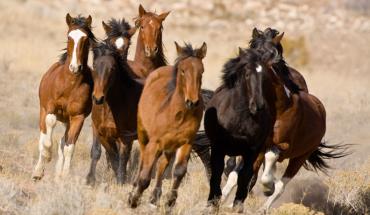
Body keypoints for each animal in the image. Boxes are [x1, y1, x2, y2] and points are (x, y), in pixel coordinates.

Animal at [31, 13, 96, 181]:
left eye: (86, 38)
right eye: (69, 37)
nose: (75, 67)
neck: (69, 85)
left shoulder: (78, 117)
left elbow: (69, 147)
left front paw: (64, 175)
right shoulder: (50, 108)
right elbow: (48, 131)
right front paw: (47, 157)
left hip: (67, 120)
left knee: (62, 142)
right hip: (43, 111)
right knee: (43, 135)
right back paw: (38, 172)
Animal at [85, 18, 140, 186]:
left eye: (113, 67)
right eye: (94, 65)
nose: (98, 98)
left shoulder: (126, 137)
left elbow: (122, 160)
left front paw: (121, 182)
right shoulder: (102, 133)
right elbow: (107, 156)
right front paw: (90, 179)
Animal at [129, 41, 207, 208]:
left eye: (201, 72)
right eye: (183, 71)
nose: (192, 102)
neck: (177, 114)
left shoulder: (186, 142)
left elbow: (179, 171)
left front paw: (170, 201)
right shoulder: (154, 143)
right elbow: (145, 176)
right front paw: (133, 199)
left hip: (170, 146)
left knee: (162, 164)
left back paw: (155, 197)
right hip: (143, 134)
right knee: (143, 161)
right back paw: (135, 189)